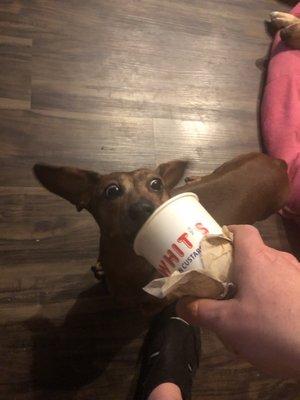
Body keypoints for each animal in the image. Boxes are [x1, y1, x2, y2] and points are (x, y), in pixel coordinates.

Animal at [34, 152, 290, 310]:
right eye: (111, 190)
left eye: (156, 183)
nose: (143, 208)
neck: (126, 263)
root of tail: (279, 163)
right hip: (230, 162)